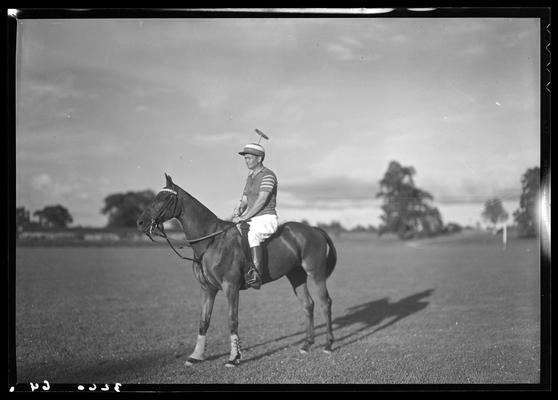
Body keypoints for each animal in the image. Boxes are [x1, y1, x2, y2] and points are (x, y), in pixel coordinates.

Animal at [137, 173, 336, 368]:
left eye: (165, 198)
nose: (140, 222)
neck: (210, 241)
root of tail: (314, 229)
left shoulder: (230, 286)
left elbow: (232, 320)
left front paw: (234, 358)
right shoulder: (207, 288)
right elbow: (204, 321)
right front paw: (196, 356)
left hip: (316, 273)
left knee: (325, 303)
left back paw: (328, 345)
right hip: (296, 275)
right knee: (308, 304)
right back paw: (307, 344)